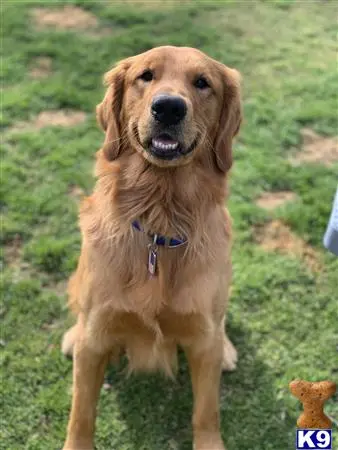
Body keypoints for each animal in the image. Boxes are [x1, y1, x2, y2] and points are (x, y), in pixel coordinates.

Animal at [62, 45, 243, 450]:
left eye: (202, 83)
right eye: (145, 76)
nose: (169, 107)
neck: (160, 222)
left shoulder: (201, 338)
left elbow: (206, 411)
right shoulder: (95, 337)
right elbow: (81, 412)